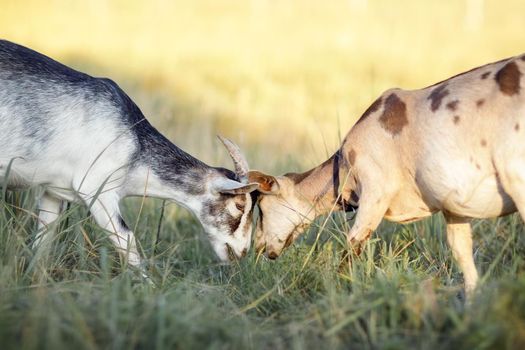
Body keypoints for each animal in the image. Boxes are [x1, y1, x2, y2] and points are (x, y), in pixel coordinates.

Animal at [248, 54, 524, 296]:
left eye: (261, 207)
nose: (259, 249)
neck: (342, 166)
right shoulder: (451, 205)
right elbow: (463, 255)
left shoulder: (375, 193)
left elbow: (351, 246)